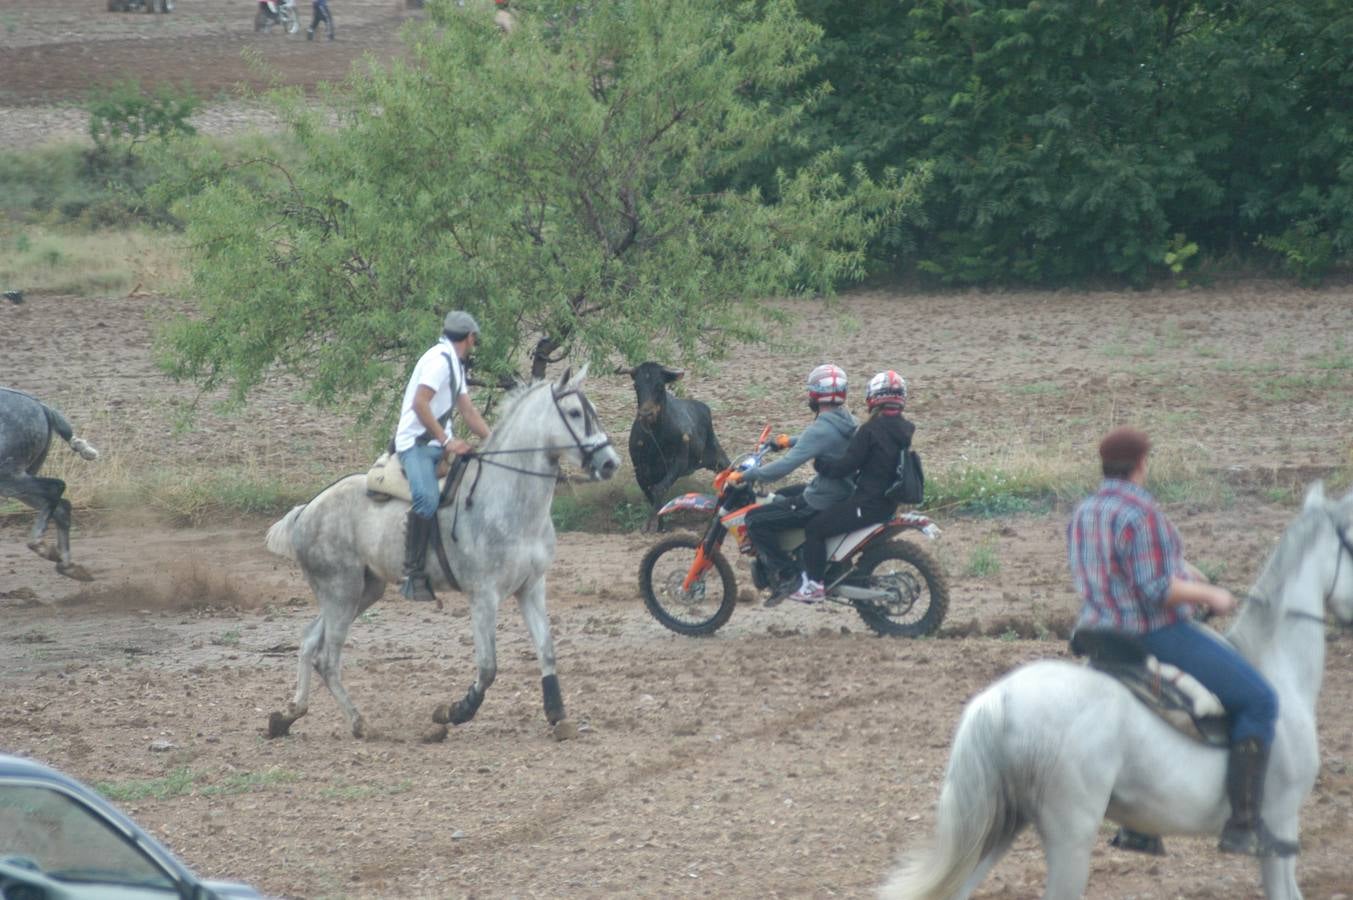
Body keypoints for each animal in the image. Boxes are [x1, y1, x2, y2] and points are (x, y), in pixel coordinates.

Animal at [0, 387, 99, 581]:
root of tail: (42, 406)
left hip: (9, 477)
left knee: (56, 488)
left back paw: (41, 546)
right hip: (16, 482)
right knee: (61, 507)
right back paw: (66, 565)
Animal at [263, 368, 622, 741]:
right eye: (575, 413)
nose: (611, 463)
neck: (508, 499)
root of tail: (306, 510)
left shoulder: (532, 588)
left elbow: (547, 652)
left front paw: (557, 715)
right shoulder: (483, 596)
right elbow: (488, 667)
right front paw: (454, 712)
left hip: (363, 591)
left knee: (309, 642)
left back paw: (288, 716)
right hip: (341, 592)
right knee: (327, 659)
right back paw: (360, 723)